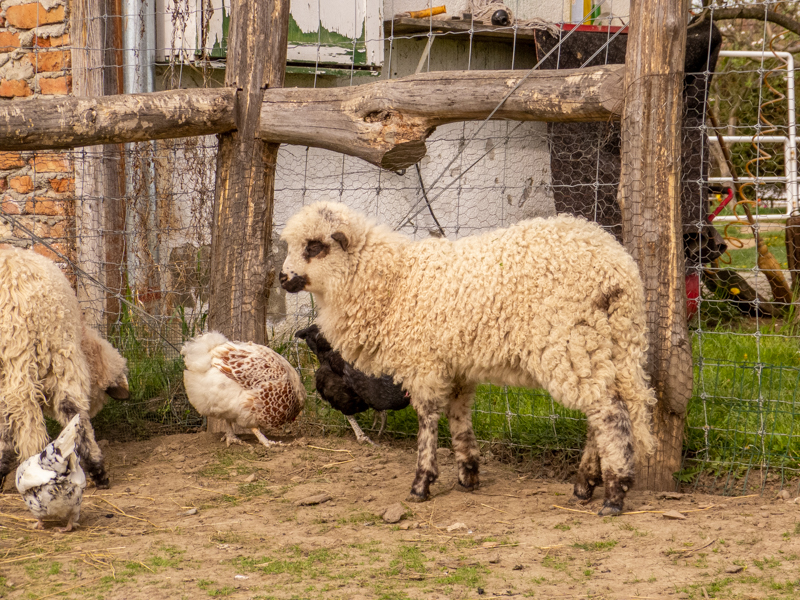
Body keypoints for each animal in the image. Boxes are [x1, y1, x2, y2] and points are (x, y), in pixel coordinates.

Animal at [279, 202, 657, 515]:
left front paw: (422, 482)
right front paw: (468, 475)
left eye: (314, 246)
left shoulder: (424, 362)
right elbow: (458, 416)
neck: (393, 282)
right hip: (605, 344)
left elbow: (428, 419)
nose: (283, 278)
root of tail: (618, 270)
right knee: (607, 408)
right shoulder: (456, 366)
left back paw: (613, 495)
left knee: (609, 413)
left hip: (569, 341)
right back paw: (585, 485)